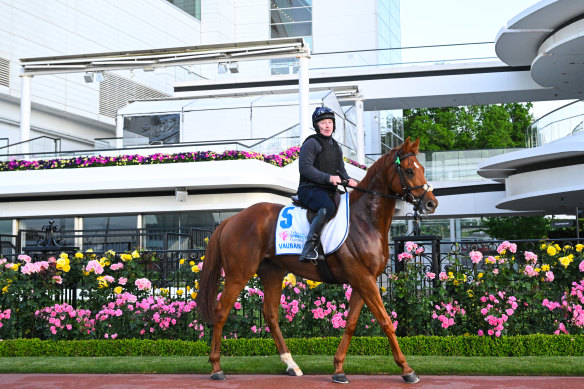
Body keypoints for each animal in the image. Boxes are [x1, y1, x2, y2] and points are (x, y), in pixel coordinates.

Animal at [196, 136, 438, 382]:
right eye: (409, 170)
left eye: (422, 168)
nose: (431, 203)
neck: (364, 219)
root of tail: (233, 219)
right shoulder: (364, 279)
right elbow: (386, 321)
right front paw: (407, 369)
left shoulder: (362, 281)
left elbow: (351, 324)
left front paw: (338, 368)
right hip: (239, 274)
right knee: (221, 311)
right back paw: (216, 367)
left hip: (272, 273)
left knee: (271, 315)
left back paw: (290, 364)